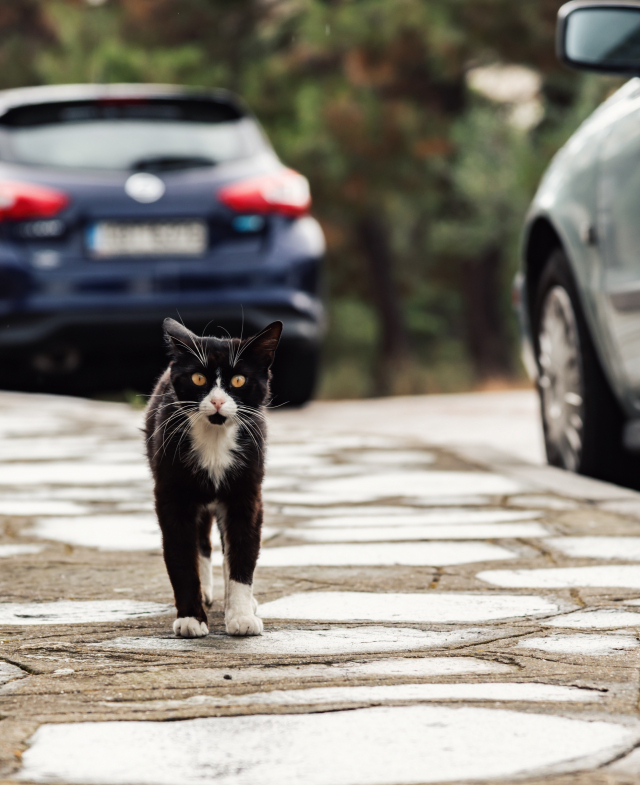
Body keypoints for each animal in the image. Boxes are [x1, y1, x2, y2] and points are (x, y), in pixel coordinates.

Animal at [149, 318, 284, 636]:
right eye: (198, 378)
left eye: (238, 381)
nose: (219, 402)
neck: (214, 437)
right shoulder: (171, 493)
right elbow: (181, 554)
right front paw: (191, 618)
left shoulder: (247, 494)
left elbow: (243, 550)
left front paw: (241, 616)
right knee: (200, 540)